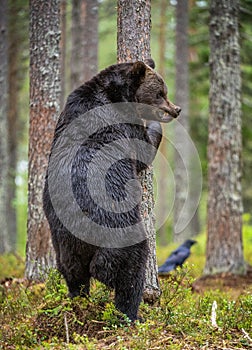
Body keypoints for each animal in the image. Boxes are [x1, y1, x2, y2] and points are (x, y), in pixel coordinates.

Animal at [43, 58, 181, 322]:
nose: (175, 109)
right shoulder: (123, 124)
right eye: (160, 93)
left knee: (72, 271)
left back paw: (78, 299)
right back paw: (131, 314)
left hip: (62, 239)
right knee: (129, 269)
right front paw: (155, 126)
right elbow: (143, 151)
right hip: (120, 230)